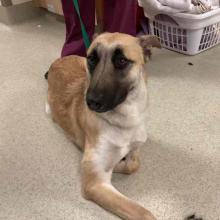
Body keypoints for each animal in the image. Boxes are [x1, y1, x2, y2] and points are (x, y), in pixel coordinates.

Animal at [46, 31, 160, 219]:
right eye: (92, 59)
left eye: (121, 60)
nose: (91, 101)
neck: (125, 121)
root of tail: (58, 61)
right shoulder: (95, 183)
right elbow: (144, 213)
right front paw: (116, 165)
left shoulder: (136, 147)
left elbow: (133, 165)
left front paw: (120, 164)